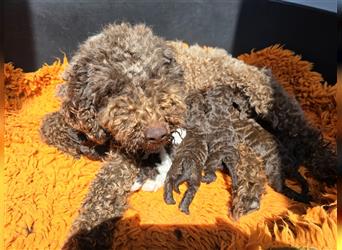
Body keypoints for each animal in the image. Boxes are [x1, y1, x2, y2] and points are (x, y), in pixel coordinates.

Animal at [38, 23, 336, 248]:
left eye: (156, 78)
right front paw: (76, 141)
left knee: (308, 135)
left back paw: (329, 168)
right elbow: (49, 123)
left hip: (268, 100)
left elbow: (108, 183)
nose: (157, 133)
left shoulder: (132, 150)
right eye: (113, 88)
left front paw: (86, 231)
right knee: (249, 160)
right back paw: (248, 196)